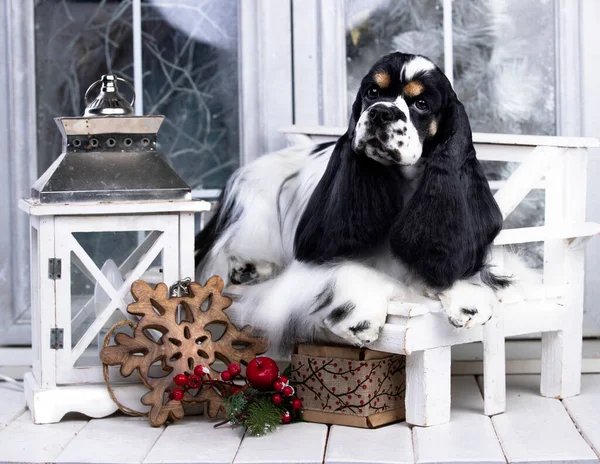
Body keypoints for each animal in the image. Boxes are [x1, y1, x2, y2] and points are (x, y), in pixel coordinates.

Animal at [195, 52, 516, 352]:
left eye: (422, 103)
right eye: (372, 92)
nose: (381, 113)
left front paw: (468, 299)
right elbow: (350, 269)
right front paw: (361, 320)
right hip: (255, 205)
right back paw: (248, 268)